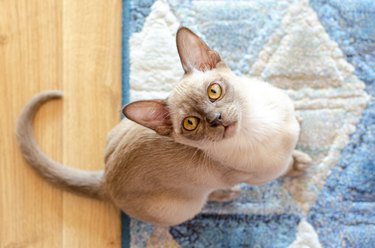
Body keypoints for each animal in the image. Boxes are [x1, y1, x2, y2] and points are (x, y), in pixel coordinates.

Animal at [16, 27, 312, 227]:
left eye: (214, 91)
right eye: (191, 123)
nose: (216, 118)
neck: (258, 123)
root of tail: (106, 180)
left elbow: (295, 130)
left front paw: (299, 126)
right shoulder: (263, 172)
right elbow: (287, 166)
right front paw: (299, 165)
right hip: (187, 205)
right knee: (205, 199)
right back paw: (226, 193)